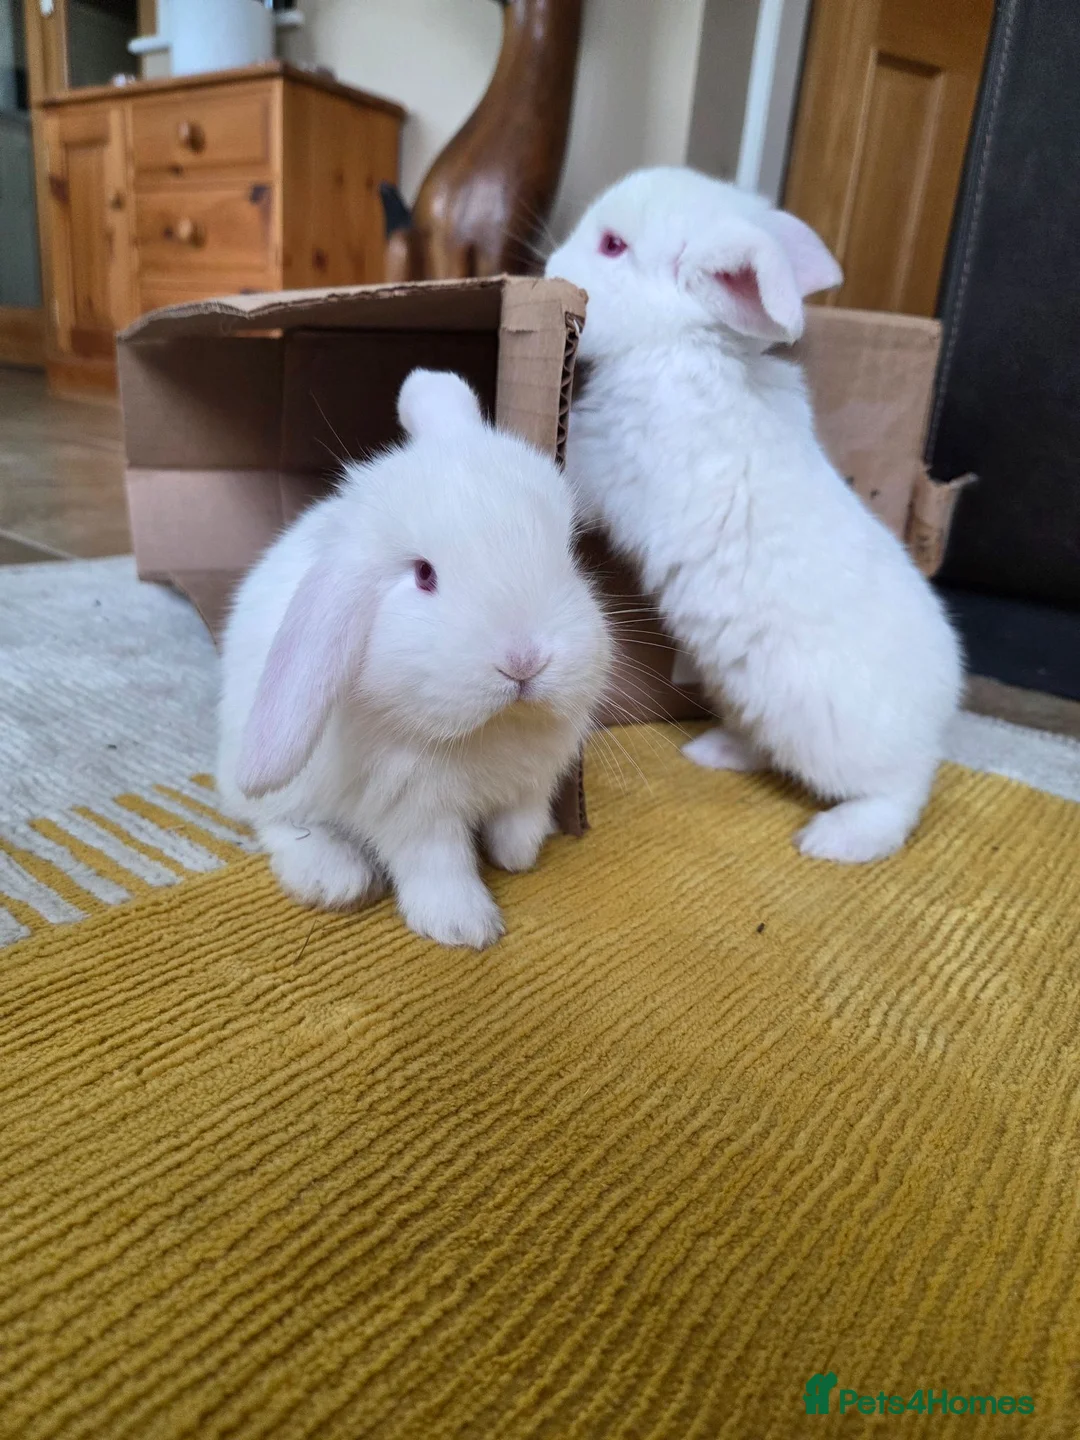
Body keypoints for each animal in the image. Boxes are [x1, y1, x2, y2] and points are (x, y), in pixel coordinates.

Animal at [216, 369, 612, 948]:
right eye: (425, 575)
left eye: (569, 554)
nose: (524, 662)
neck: (493, 727)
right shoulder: (414, 811)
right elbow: (437, 865)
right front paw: (464, 927)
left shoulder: (533, 783)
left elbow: (519, 820)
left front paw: (518, 857)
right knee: (274, 821)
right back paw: (333, 878)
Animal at [545, 166, 963, 863]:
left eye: (612, 245)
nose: (550, 268)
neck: (684, 343)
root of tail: (943, 708)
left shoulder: (603, 459)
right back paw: (712, 750)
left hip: (840, 743)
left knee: (901, 796)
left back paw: (833, 840)